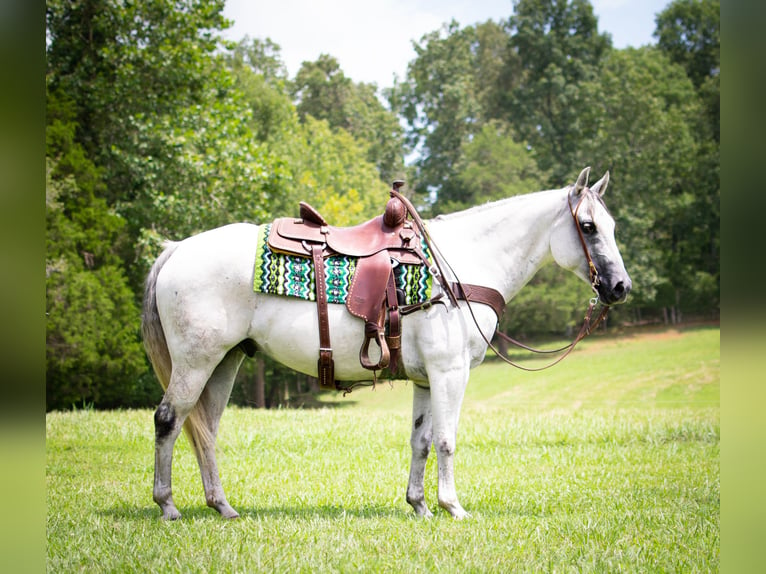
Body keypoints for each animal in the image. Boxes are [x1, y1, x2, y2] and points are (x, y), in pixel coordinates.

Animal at [142, 166, 632, 520]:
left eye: (611, 225)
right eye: (588, 226)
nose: (620, 287)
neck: (458, 270)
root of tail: (177, 249)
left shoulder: (425, 379)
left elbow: (421, 441)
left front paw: (419, 506)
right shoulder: (449, 372)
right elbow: (447, 439)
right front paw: (452, 507)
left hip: (224, 362)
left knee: (205, 430)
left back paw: (222, 506)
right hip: (196, 361)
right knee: (169, 419)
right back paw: (167, 505)